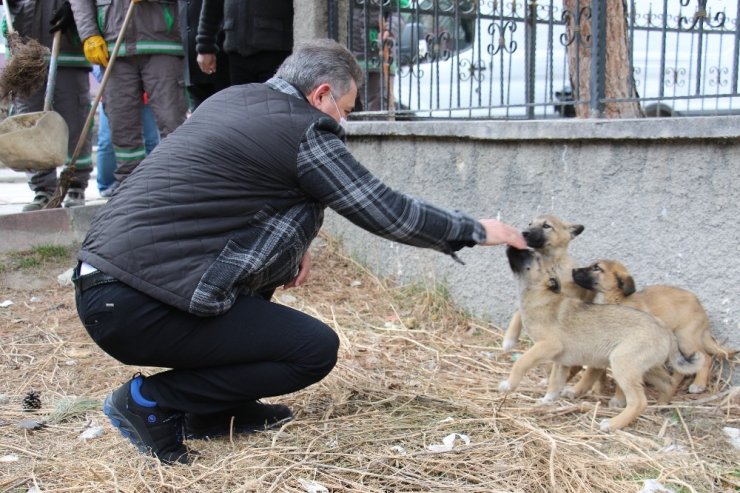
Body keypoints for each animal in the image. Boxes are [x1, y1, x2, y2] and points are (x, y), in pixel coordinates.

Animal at [500, 213, 592, 352]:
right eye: (530, 223)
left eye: (546, 226)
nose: (524, 232)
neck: (548, 263)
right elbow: (518, 312)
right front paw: (509, 338)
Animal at [500, 246, 704, 430]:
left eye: (533, 256)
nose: (510, 244)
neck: (541, 296)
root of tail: (665, 330)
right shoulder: (561, 362)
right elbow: (554, 384)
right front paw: (546, 401)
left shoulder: (548, 345)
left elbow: (521, 363)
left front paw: (509, 385)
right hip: (645, 368)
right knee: (668, 383)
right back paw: (660, 407)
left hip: (623, 363)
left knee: (638, 401)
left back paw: (613, 423)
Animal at [572, 260, 736, 394]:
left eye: (597, 268)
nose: (573, 270)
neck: (615, 299)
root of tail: (700, 307)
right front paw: (595, 388)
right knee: (681, 368)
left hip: (686, 339)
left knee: (706, 358)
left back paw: (698, 384)